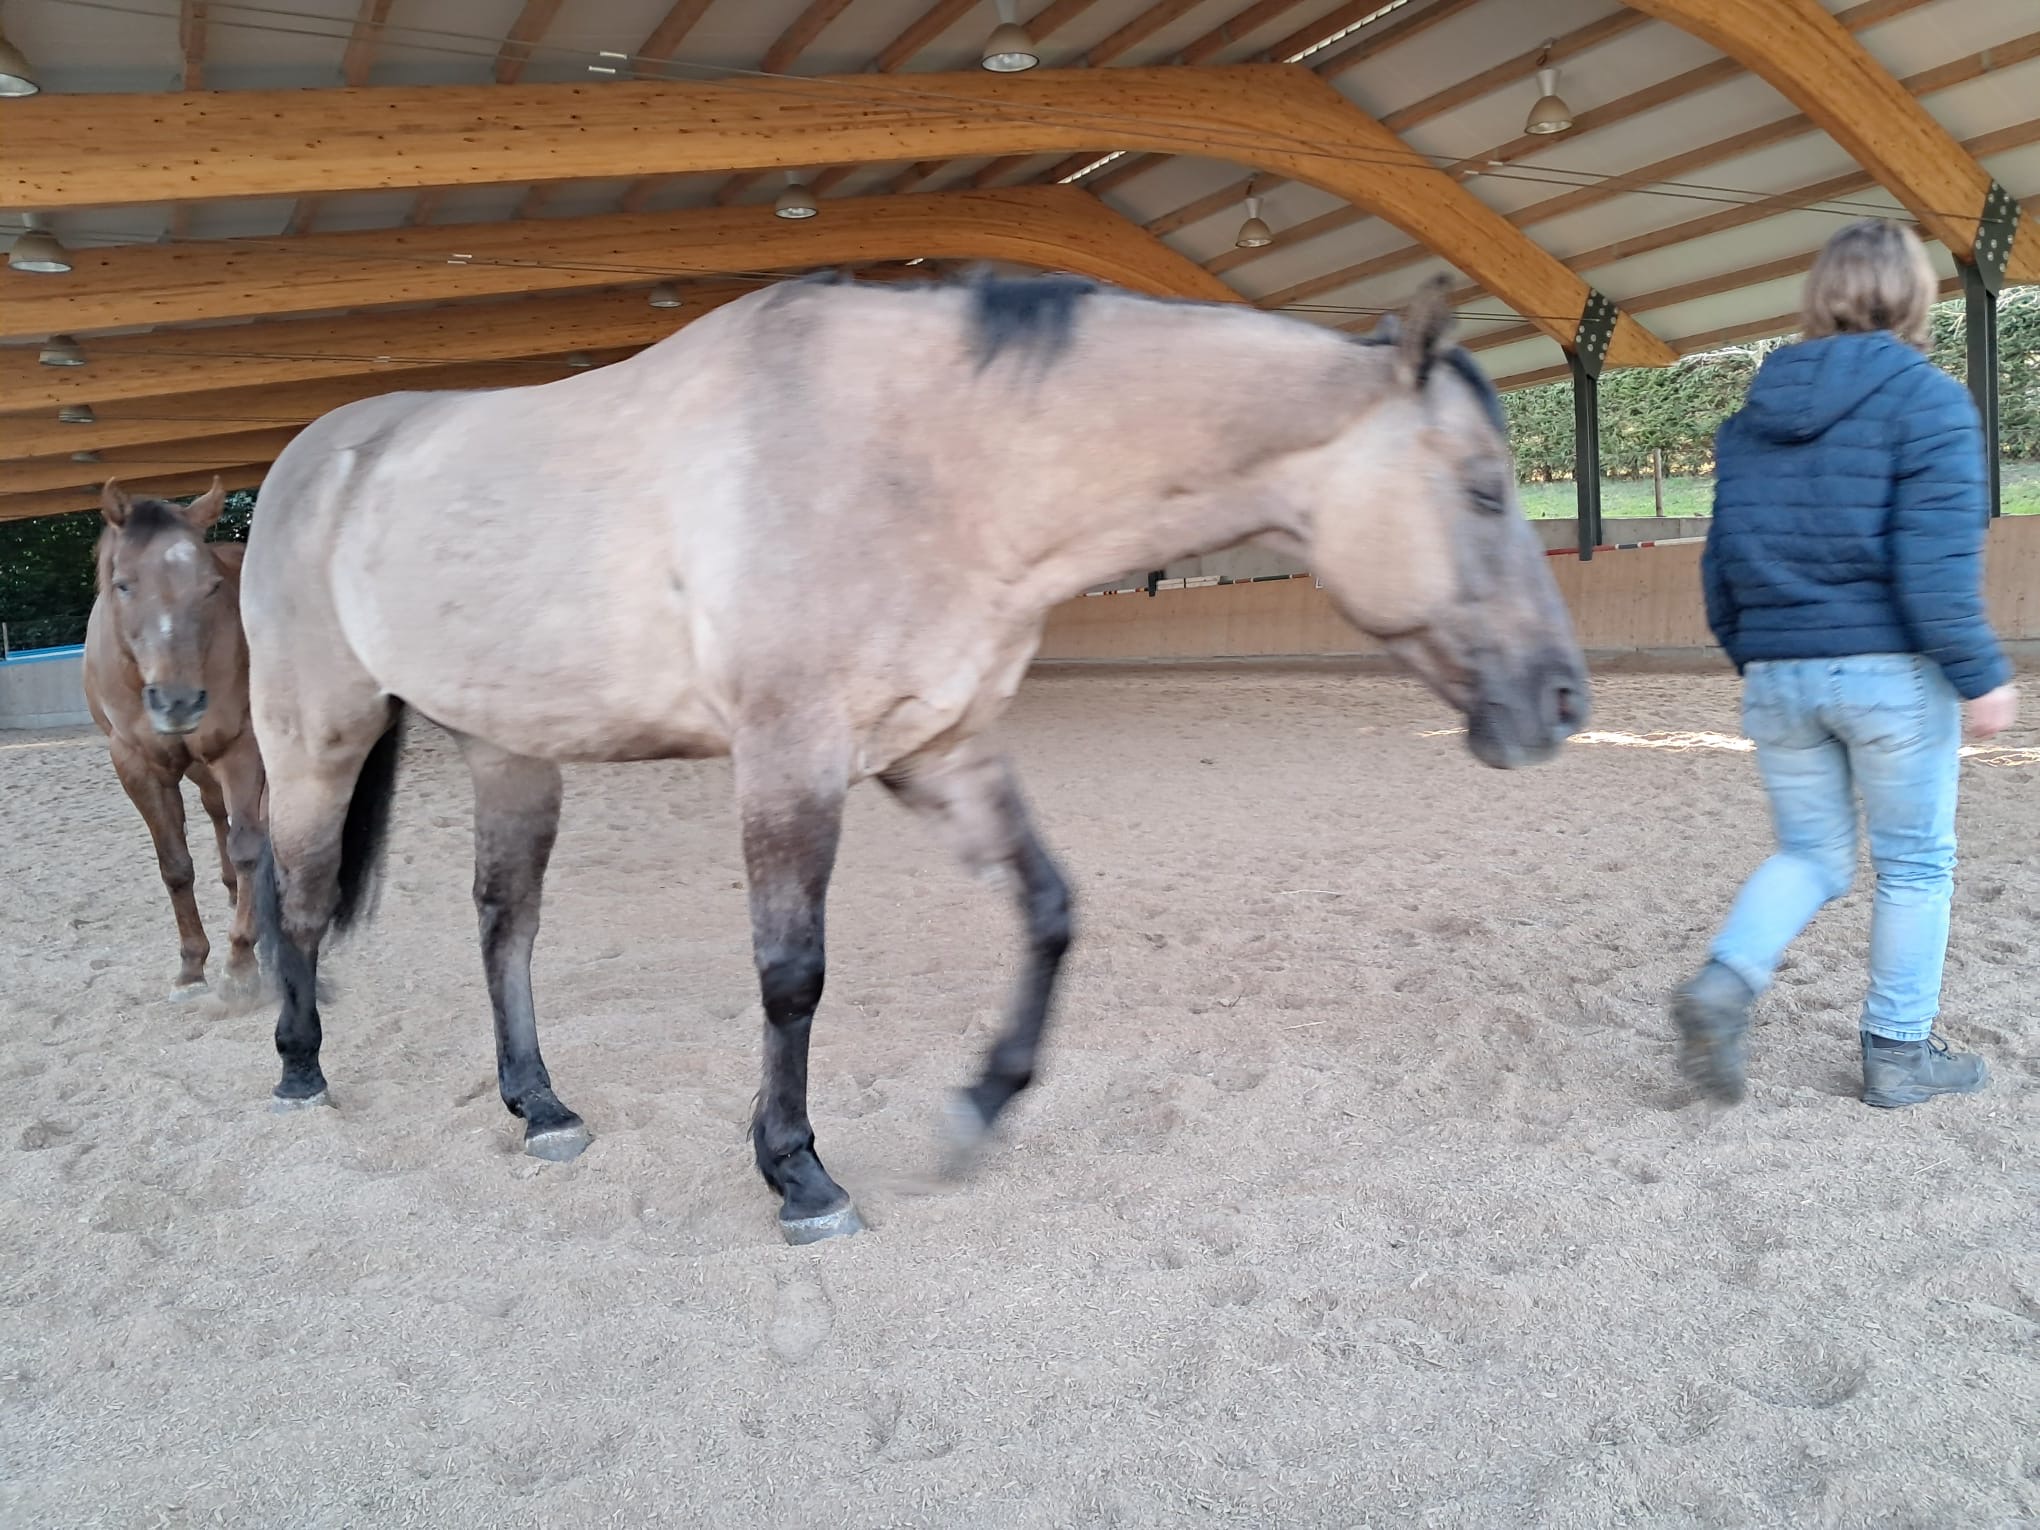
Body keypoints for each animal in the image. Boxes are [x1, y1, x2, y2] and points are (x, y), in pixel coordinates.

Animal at [83, 478, 267, 1001]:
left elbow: (250, 849)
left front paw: (241, 963)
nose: (178, 702)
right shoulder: (137, 765)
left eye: (211, 587)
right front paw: (191, 965)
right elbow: (175, 865)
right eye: (124, 584)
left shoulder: (241, 748)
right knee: (216, 813)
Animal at [241, 273, 1589, 1244]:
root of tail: (313, 460)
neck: (925, 459)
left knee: (501, 921)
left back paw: (541, 1107)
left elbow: (1049, 909)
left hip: (512, 750)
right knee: (291, 894)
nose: (1566, 703)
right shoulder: (790, 759)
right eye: (1482, 489)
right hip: (317, 735)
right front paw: (800, 1176)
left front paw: (981, 1105)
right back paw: (300, 1069)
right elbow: (793, 975)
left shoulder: (939, 748)